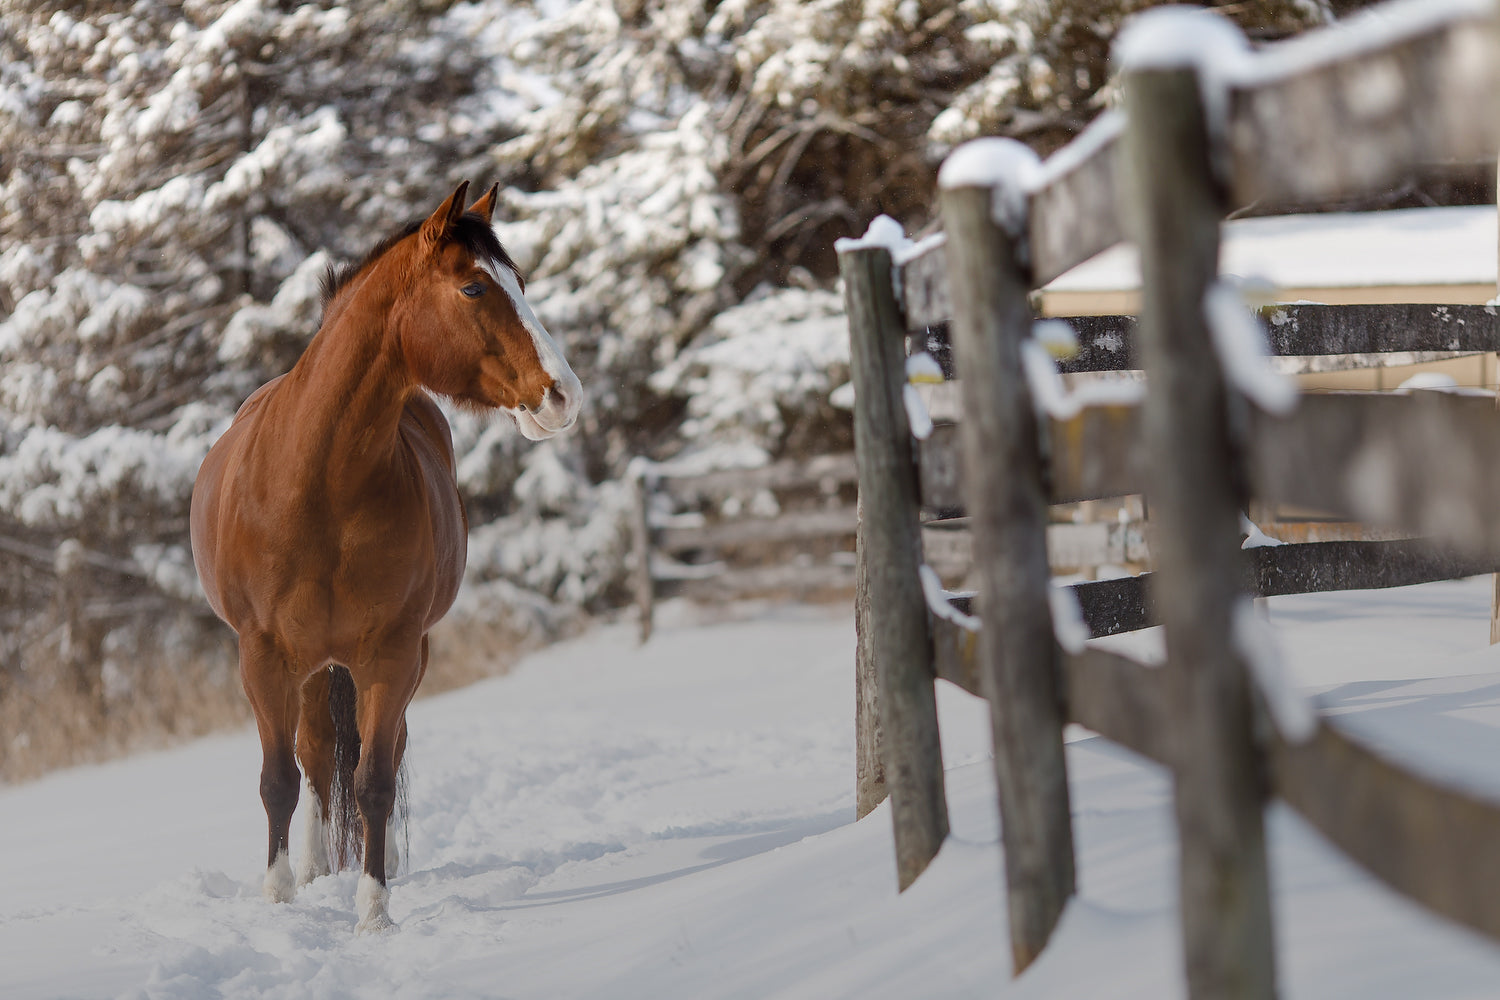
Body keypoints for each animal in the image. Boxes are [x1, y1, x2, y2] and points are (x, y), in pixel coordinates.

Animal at [190, 179, 576, 929]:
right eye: (473, 287)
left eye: (518, 282)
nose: (564, 394)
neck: (315, 487)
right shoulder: (263, 656)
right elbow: (279, 780)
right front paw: (280, 898)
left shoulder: (392, 653)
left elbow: (372, 779)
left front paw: (374, 910)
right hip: (311, 667)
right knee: (313, 756)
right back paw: (313, 868)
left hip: (391, 658)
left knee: (378, 753)